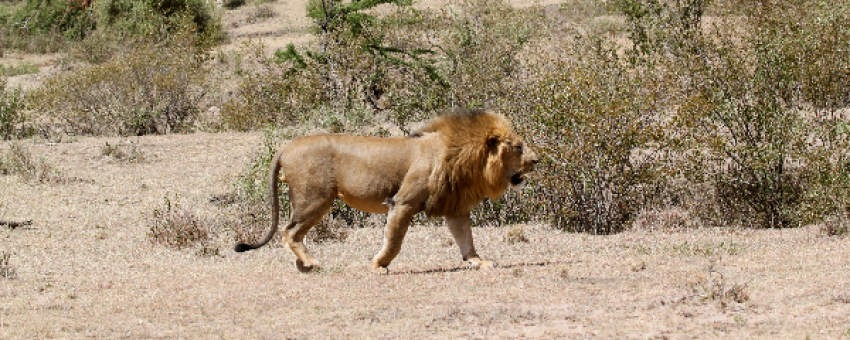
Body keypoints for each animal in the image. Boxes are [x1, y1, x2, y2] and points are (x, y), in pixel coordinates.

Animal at [232, 109, 536, 274]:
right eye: (519, 147)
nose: (537, 160)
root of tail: (286, 146)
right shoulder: (403, 202)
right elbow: (394, 240)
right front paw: (379, 264)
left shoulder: (455, 206)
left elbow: (466, 239)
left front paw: (478, 262)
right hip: (315, 199)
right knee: (289, 232)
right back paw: (311, 263)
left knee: (291, 233)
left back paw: (301, 264)